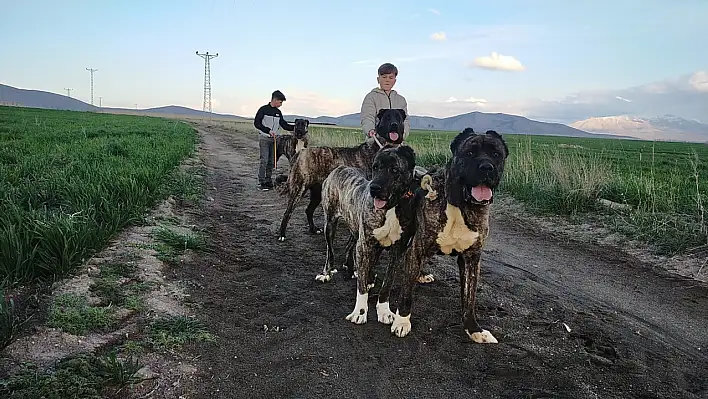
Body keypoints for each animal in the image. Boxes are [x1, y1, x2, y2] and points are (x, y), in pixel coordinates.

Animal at [278, 108, 410, 242]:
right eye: (387, 117)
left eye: (398, 117)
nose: (394, 125)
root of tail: (300, 152)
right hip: (299, 188)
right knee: (287, 212)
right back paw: (282, 234)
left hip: (317, 191)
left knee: (309, 210)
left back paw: (313, 229)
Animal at [316, 145, 420, 326]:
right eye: (375, 167)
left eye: (394, 169)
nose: (374, 188)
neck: (391, 208)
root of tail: (340, 168)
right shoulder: (365, 245)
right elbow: (362, 288)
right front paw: (360, 312)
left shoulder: (396, 251)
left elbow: (387, 284)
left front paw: (384, 310)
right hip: (330, 224)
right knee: (330, 250)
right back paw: (327, 273)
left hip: (357, 229)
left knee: (350, 246)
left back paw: (354, 269)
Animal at [378, 128, 512, 344]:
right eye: (470, 153)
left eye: (496, 154)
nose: (486, 167)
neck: (460, 205)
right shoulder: (418, 248)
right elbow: (406, 294)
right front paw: (402, 321)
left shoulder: (471, 259)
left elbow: (469, 298)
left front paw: (474, 329)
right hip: (404, 239)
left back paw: (420, 275)